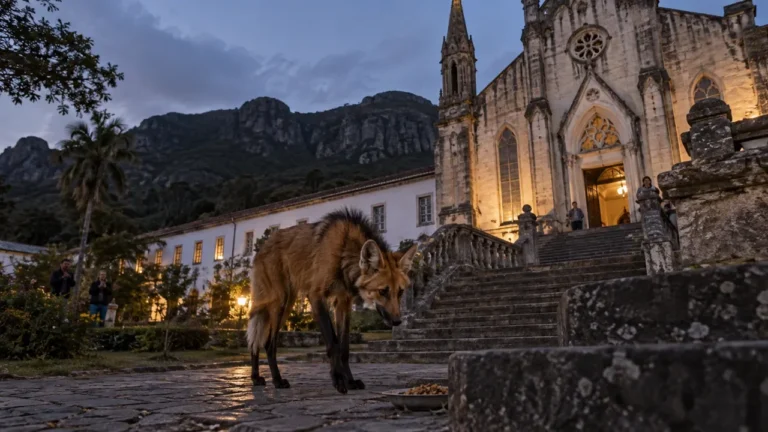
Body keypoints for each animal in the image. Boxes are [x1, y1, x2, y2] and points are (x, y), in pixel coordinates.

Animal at [246, 208, 418, 394]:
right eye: (382, 291)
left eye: (400, 292)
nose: (397, 321)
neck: (343, 254)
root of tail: (262, 246)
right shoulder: (316, 296)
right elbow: (333, 343)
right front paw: (338, 380)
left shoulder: (343, 302)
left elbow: (344, 348)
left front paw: (350, 381)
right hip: (279, 302)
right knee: (268, 343)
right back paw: (277, 380)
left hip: (286, 304)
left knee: (257, 340)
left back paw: (255, 377)